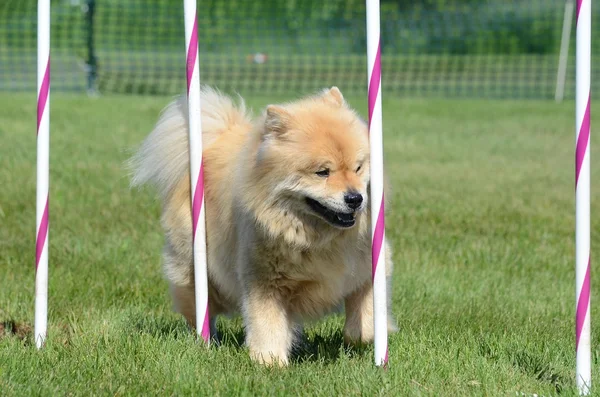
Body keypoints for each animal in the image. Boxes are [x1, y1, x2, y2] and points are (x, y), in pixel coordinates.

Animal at [129, 86, 396, 366]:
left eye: (358, 167)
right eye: (323, 172)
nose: (355, 198)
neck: (318, 238)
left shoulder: (369, 264)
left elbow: (365, 318)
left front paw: (371, 335)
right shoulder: (264, 280)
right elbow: (267, 322)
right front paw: (270, 361)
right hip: (197, 271)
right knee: (198, 309)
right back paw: (207, 341)